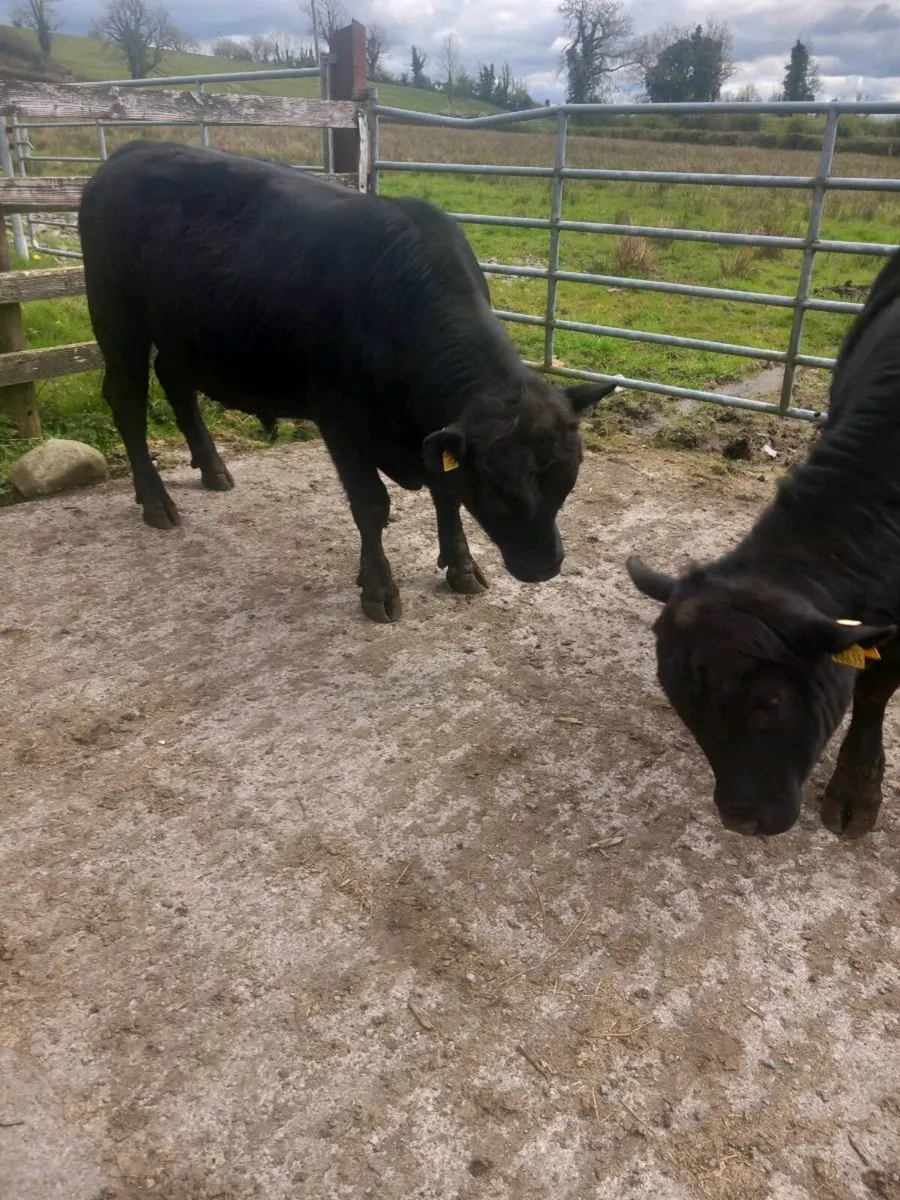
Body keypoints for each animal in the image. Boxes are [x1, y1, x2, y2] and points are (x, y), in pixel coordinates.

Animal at [78, 140, 616, 623]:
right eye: (501, 491)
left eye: (567, 484)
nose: (546, 565)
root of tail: (130, 151)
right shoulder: (340, 419)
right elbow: (372, 505)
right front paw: (379, 588)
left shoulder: (434, 431)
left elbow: (445, 492)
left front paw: (461, 565)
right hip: (116, 316)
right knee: (127, 401)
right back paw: (156, 501)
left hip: (182, 335)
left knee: (175, 382)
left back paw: (213, 469)